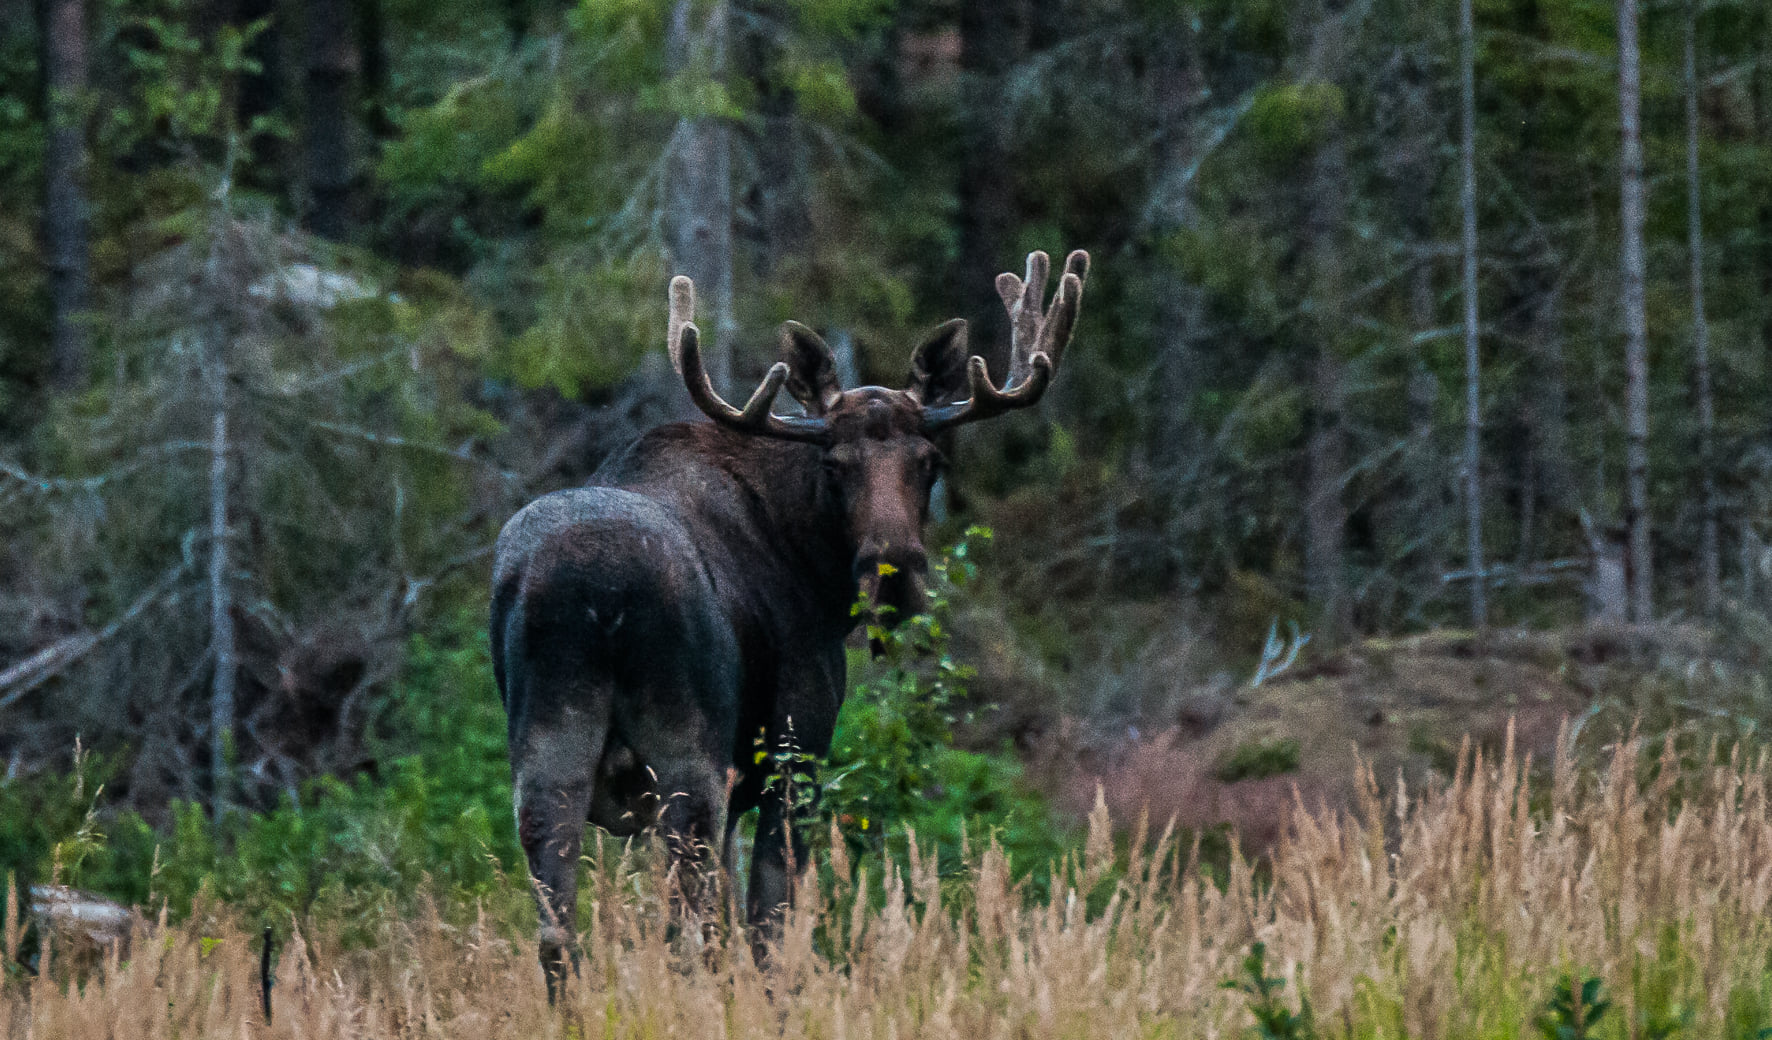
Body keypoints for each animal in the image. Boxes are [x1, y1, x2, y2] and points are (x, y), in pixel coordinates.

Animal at [492, 246, 1084, 992]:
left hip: (548, 750)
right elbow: (769, 923)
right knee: (686, 930)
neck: (812, 566)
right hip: (688, 749)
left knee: (558, 930)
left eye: (930, 461)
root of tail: (597, 593)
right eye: (835, 464)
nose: (894, 575)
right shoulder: (796, 749)